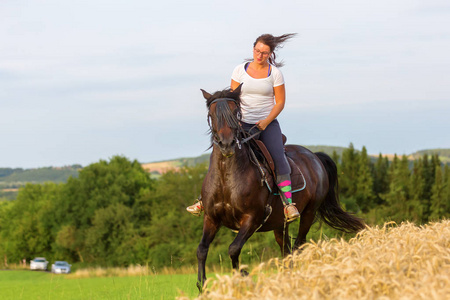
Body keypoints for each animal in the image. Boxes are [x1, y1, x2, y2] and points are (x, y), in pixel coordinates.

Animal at [195, 84, 364, 290]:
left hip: (309, 213)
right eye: (211, 114)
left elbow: (233, 248)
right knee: (287, 251)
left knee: (298, 247)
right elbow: (202, 249)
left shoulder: (252, 219)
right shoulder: (211, 218)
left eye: (236, 113)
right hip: (279, 223)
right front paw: (202, 287)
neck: (227, 177)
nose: (227, 145)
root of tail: (314, 156)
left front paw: (242, 277)